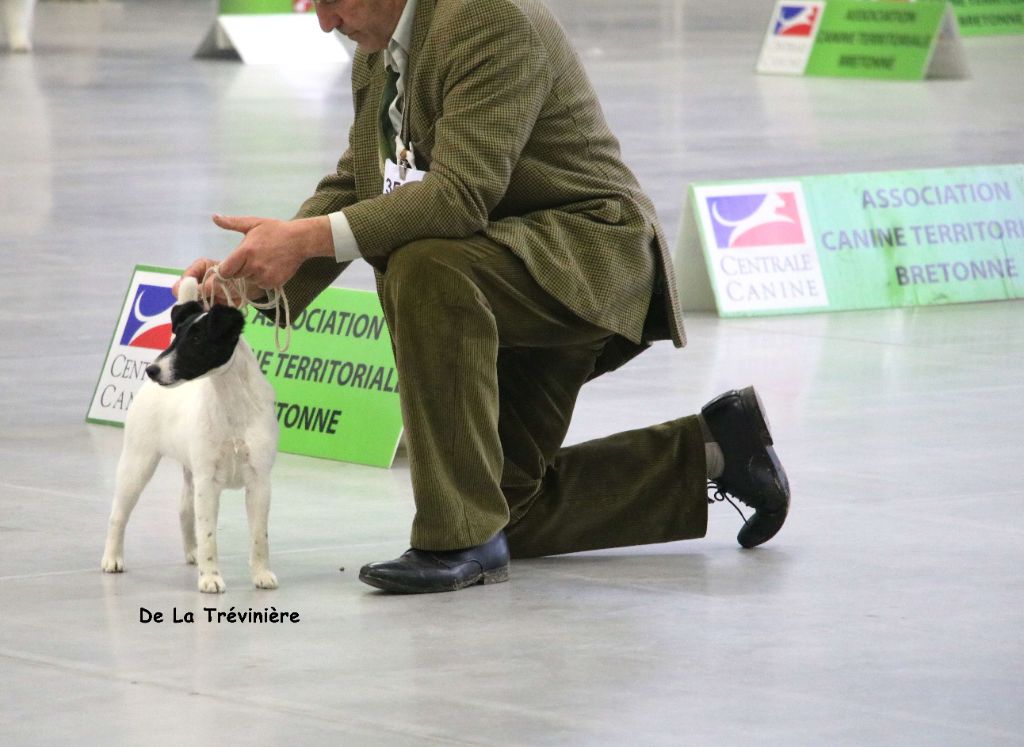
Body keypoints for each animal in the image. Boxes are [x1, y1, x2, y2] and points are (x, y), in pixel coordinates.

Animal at [100, 276, 280, 590]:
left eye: (196, 340)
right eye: (175, 337)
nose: (152, 370)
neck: (232, 405)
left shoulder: (259, 482)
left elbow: (259, 536)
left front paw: (261, 574)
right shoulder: (208, 481)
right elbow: (209, 535)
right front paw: (210, 578)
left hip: (189, 473)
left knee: (184, 511)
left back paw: (192, 553)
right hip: (137, 463)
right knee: (118, 515)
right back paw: (112, 559)